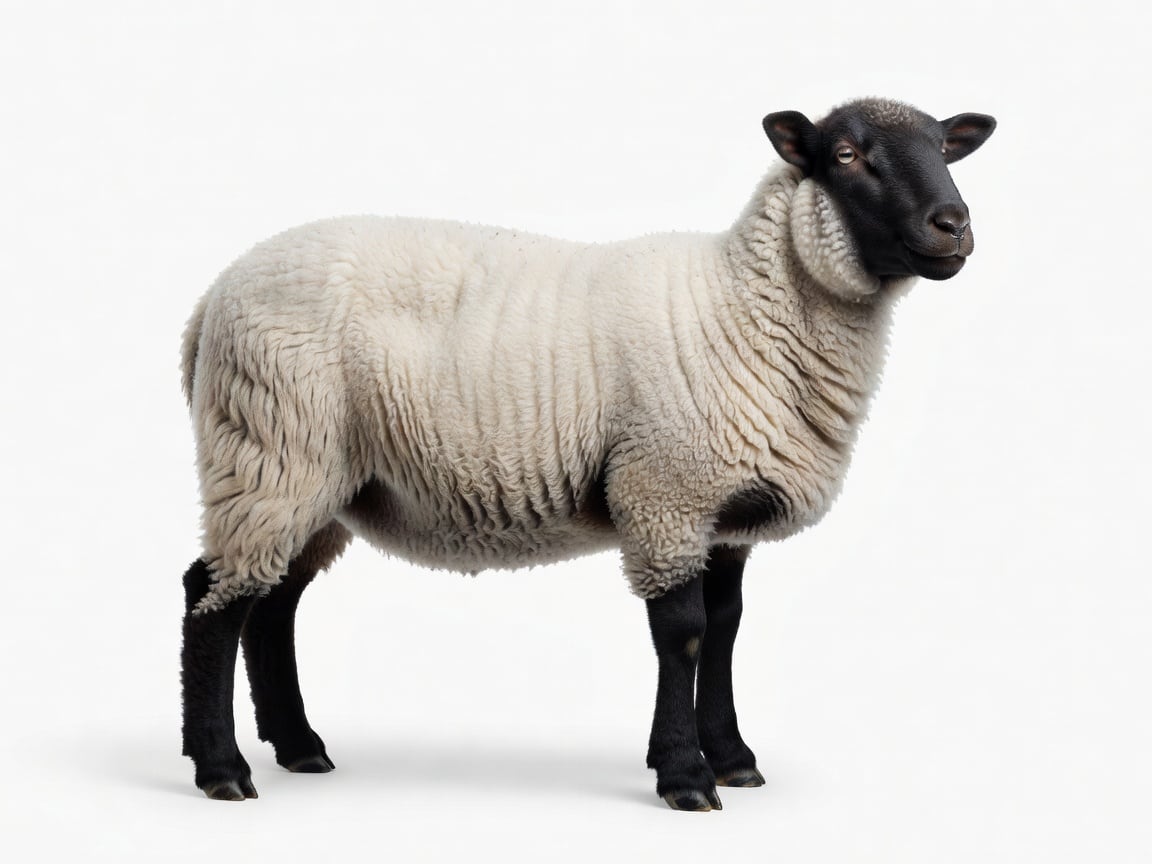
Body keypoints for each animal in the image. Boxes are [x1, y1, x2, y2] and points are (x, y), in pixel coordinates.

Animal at [180, 97, 996, 810]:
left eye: (944, 147)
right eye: (847, 155)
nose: (954, 226)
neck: (745, 307)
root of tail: (212, 297)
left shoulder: (723, 515)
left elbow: (727, 629)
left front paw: (732, 759)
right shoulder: (665, 493)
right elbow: (685, 635)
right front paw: (684, 775)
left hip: (315, 474)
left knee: (273, 602)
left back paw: (298, 747)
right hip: (270, 446)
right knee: (212, 598)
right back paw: (221, 769)